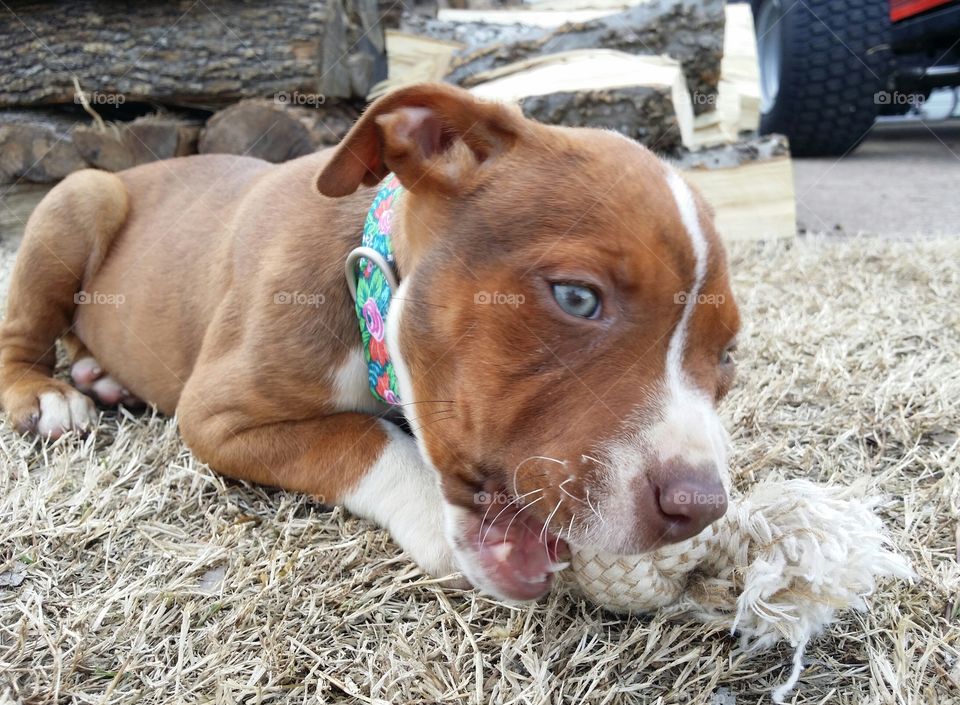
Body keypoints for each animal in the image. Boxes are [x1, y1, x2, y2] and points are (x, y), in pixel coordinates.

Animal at [0, 82, 744, 600]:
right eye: (577, 298)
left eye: (728, 355)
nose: (700, 508)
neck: (368, 282)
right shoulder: (216, 415)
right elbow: (361, 436)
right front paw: (432, 518)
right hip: (79, 197)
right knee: (25, 331)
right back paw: (48, 393)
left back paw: (99, 373)